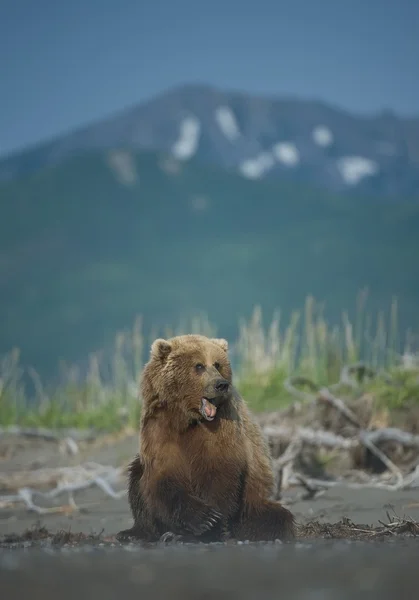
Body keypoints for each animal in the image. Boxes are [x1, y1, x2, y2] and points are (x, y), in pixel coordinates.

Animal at [116, 332, 296, 544]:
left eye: (217, 364)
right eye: (199, 366)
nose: (221, 384)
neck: (186, 419)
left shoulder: (220, 428)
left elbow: (219, 471)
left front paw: (208, 527)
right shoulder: (158, 429)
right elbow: (164, 476)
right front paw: (204, 519)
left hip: (252, 502)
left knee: (275, 518)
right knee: (137, 477)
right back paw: (135, 533)